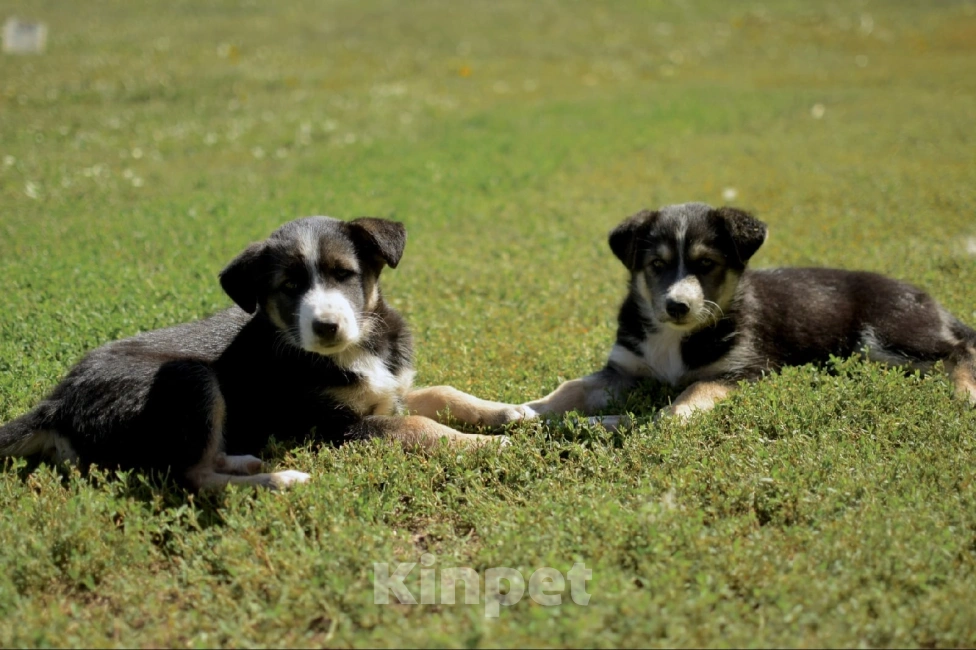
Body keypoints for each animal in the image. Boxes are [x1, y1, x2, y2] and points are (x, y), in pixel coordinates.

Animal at [0, 215, 516, 488]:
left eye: (344, 274)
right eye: (288, 287)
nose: (326, 326)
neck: (357, 348)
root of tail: (56, 401)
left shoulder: (393, 389)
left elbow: (441, 394)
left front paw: (507, 412)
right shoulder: (336, 426)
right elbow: (417, 426)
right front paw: (481, 445)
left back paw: (246, 459)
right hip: (190, 378)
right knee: (191, 475)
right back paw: (278, 479)